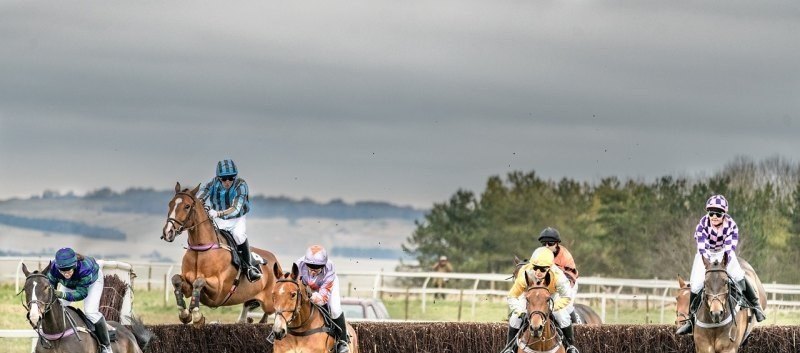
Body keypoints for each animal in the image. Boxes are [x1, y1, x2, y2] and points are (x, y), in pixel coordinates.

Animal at [161, 182, 282, 324]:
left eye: (187, 206)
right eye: (170, 204)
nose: (168, 232)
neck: (201, 249)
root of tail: (275, 261)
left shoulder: (218, 291)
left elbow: (199, 282)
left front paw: (197, 316)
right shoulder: (188, 285)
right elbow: (176, 280)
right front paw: (185, 314)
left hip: (269, 301)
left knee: (272, 309)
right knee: (250, 306)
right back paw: (245, 320)